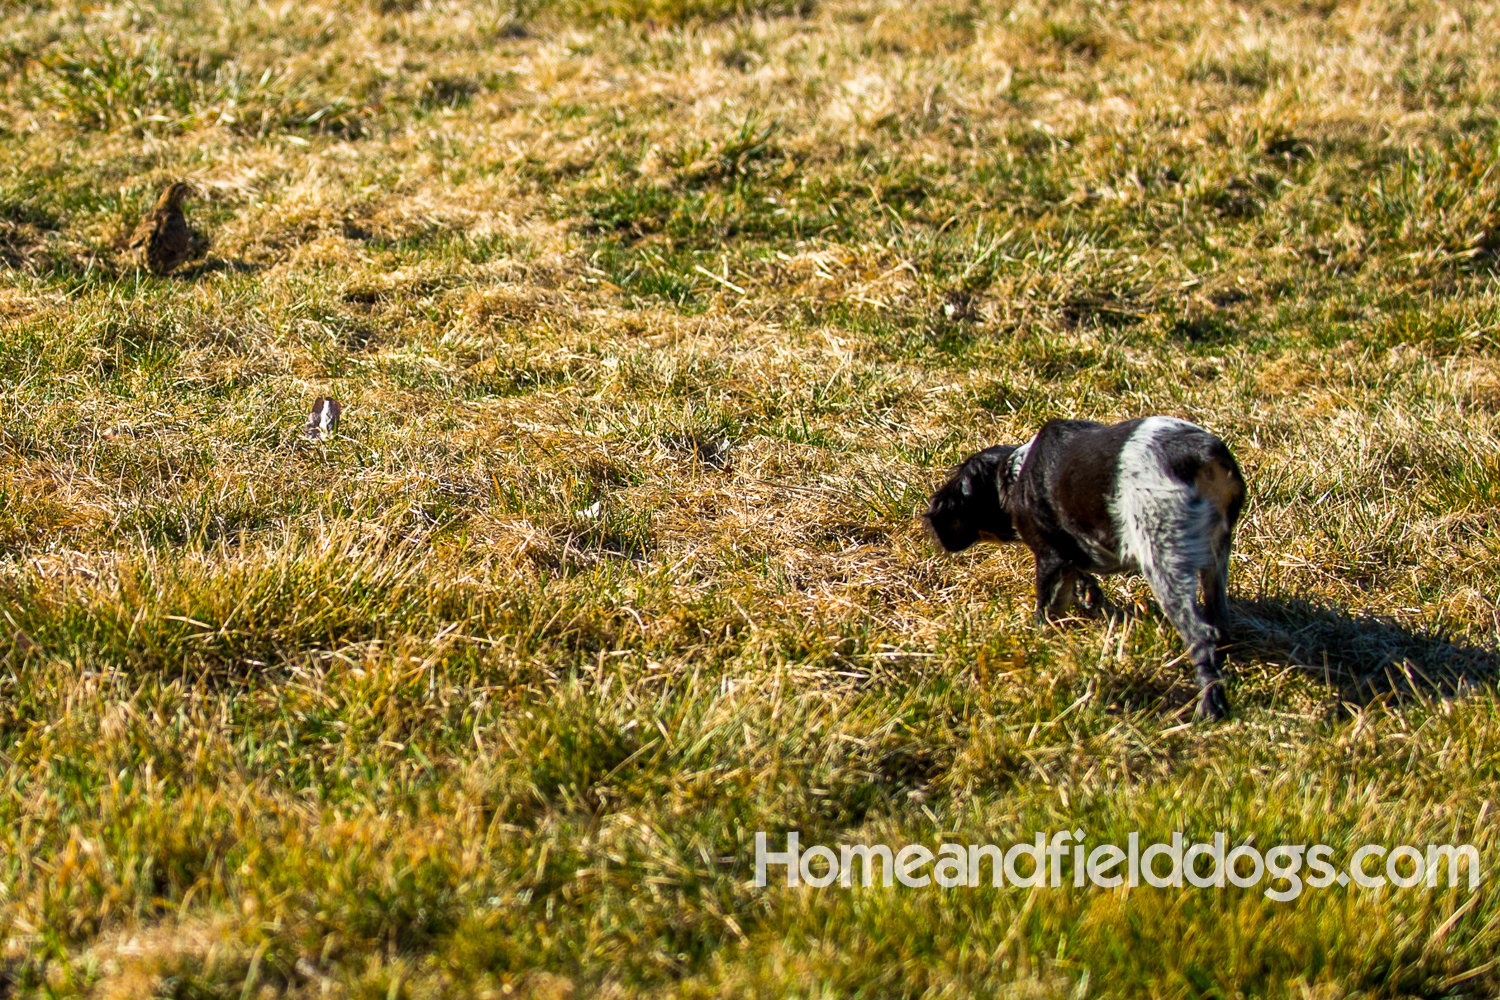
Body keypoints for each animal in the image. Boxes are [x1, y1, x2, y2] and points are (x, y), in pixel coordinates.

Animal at [918, 413, 1248, 719]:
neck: (1016, 472)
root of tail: (1203, 454)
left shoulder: (1050, 559)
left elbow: (1045, 612)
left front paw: (1038, 645)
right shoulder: (1070, 555)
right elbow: (1081, 575)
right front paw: (1089, 595)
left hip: (1162, 557)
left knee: (1201, 635)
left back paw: (1210, 707)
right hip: (1216, 556)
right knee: (1220, 625)